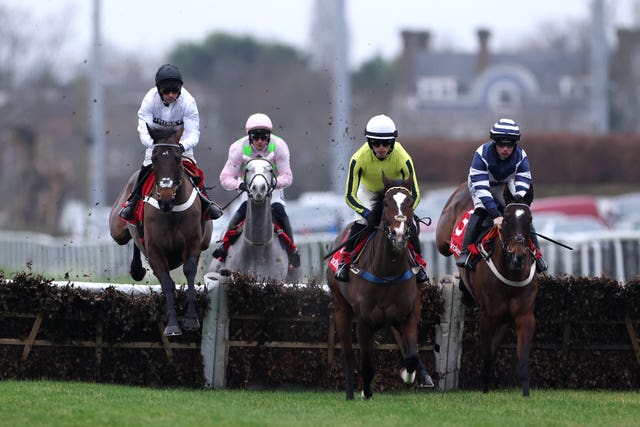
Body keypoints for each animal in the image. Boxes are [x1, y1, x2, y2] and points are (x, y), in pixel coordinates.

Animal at [108, 125, 212, 336]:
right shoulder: (155, 251)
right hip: (117, 230)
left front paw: (191, 319)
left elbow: (189, 271)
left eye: (178, 158)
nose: (164, 197)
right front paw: (172, 325)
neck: (170, 210)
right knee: (130, 239)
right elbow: (167, 283)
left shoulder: (193, 244)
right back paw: (136, 268)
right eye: (155, 159)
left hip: (206, 239)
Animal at [328, 174, 432, 402]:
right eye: (386, 204)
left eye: (409, 202)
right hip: (341, 309)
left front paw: (408, 374)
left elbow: (411, 355)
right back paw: (350, 393)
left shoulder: (409, 313)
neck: (387, 271)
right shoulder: (364, 321)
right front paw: (366, 392)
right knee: (348, 355)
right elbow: (366, 363)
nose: (399, 234)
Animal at [436, 184, 540, 398]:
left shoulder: (524, 316)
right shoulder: (488, 317)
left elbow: (520, 357)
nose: (518, 255)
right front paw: (485, 387)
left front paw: (525, 392)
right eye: (506, 219)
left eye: (529, 219)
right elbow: (486, 352)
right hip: (442, 239)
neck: (511, 273)